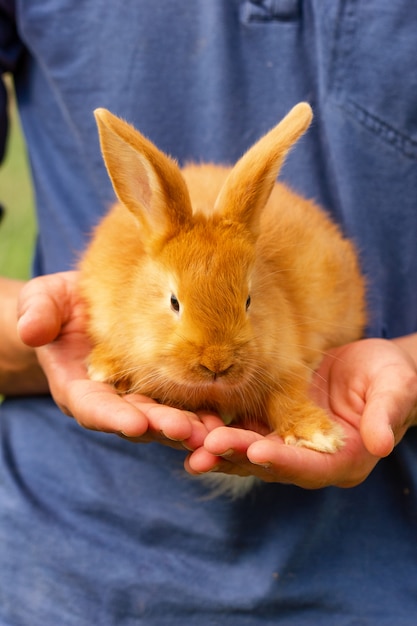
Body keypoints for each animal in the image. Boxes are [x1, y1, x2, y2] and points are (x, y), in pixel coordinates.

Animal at [78, 103, 364, 454]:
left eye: (249, 300)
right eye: (174, 302)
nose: (217, 363)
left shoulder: (287, 363)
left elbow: (288, 398)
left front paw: (319, 435)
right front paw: (102, 367)